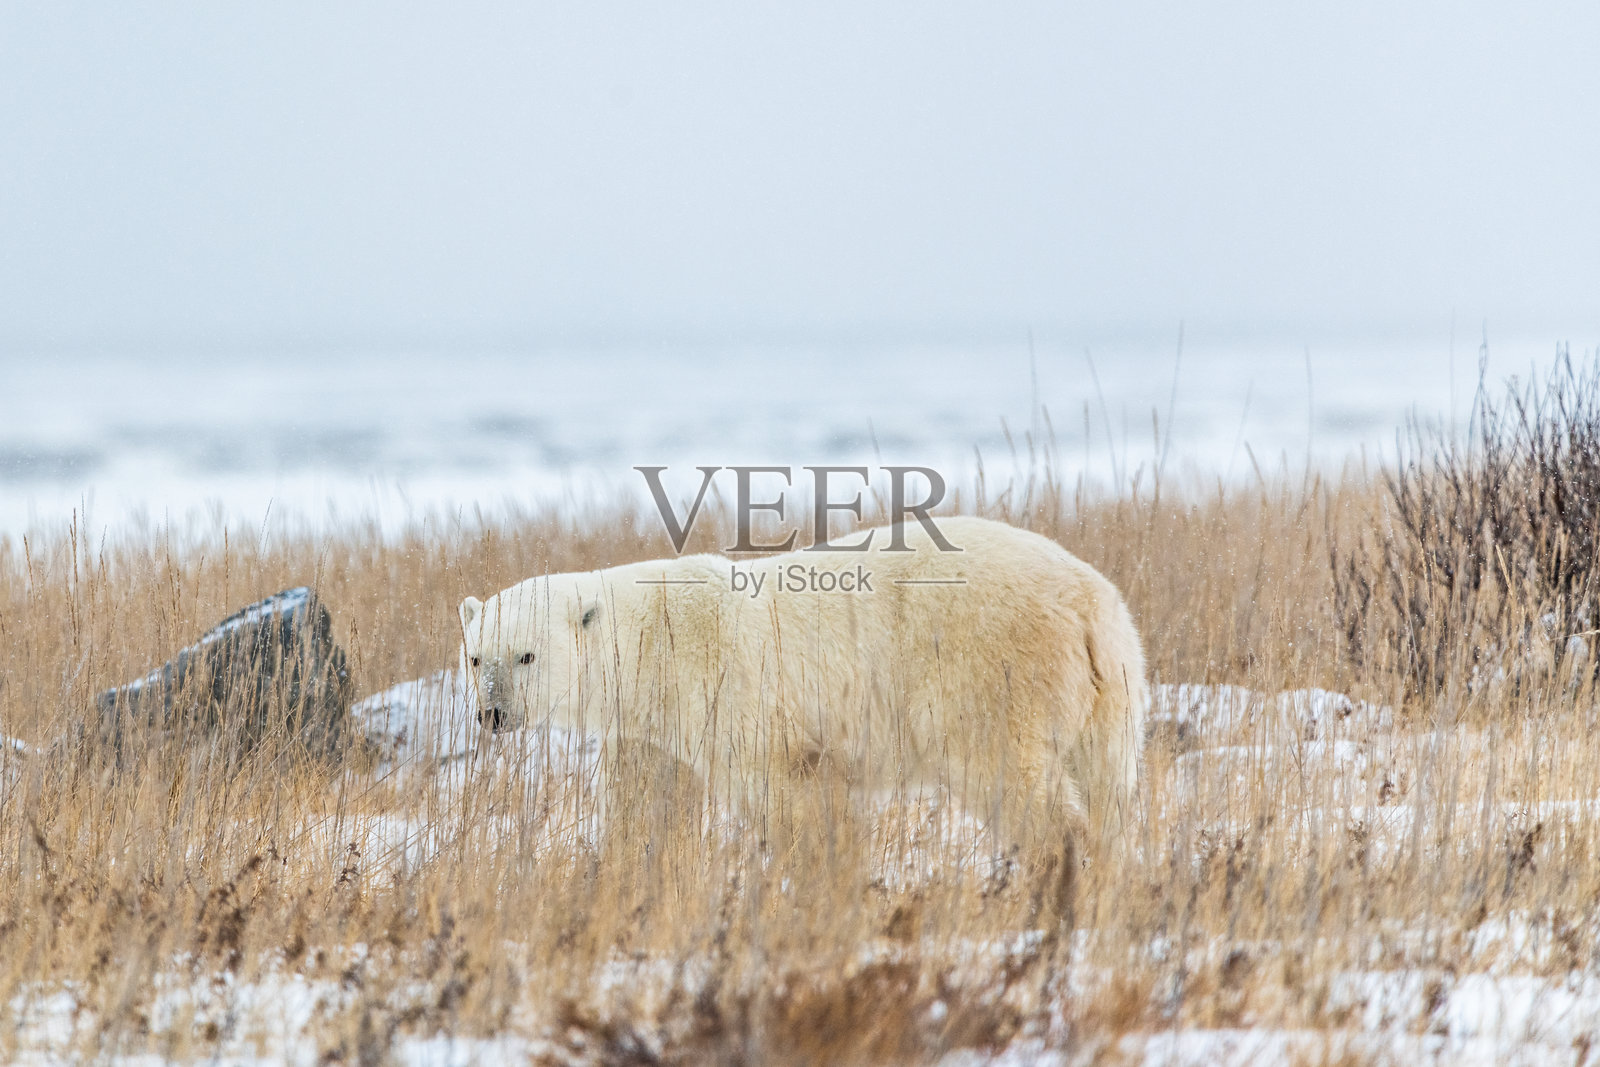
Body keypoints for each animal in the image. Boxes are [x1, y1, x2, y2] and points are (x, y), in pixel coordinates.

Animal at [457, 516, 1147, 867]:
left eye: (527, 655)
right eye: (476, 656)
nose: (493, 713)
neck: (658, 634)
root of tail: (1086, 603)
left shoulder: (736, 701)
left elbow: (792, 802)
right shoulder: (649, 723)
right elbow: (647, 802)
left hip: (989, 672)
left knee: (1008, 778)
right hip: (1113, 684)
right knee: (1109, 783)